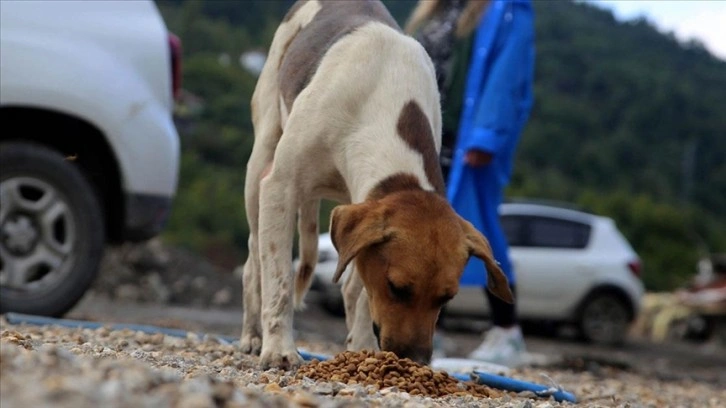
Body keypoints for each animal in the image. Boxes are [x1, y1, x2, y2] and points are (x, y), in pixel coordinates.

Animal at [239, 0, 512, 370]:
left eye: (447, 297)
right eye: (397, 287)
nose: (415, 360)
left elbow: (361, 297)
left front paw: (364, 349)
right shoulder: (280, 188)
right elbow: (279, 281)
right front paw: (280, 349)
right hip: (261, 162)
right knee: (254, 263)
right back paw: (253, 336)